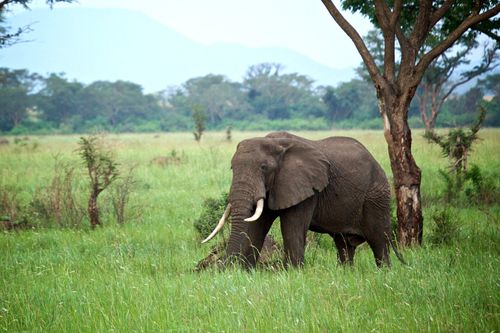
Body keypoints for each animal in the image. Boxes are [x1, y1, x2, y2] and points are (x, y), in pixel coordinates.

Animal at [201, 130, 396, 268]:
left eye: (264, 167)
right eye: (232, 168)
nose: (224, 267)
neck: (275, 143)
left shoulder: (305, 186)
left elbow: (292, 226)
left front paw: (293, 273)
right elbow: (257, 226)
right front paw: (246, 271)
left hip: (377, 196)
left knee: (378, 239)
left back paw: (384, 273)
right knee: (343, 243)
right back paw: (346, 272)